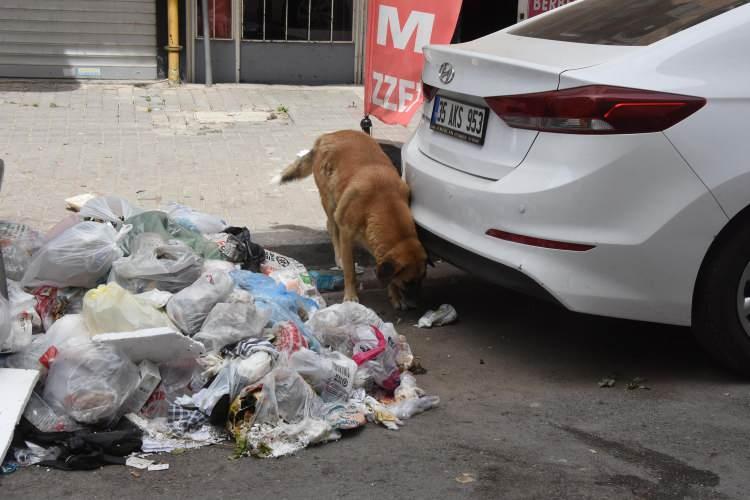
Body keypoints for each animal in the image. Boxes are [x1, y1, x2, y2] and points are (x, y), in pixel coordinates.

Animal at [278, 129, 428, 308]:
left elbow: (388, 275)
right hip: (330, 202)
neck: (384, 201)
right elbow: (350, 271)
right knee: (331, 227)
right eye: (407, 282)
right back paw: (339, 259)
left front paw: (395, 295)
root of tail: (328, 135)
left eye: (422, 279)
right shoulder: (346, 235)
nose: (416, 305)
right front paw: (350, 295)